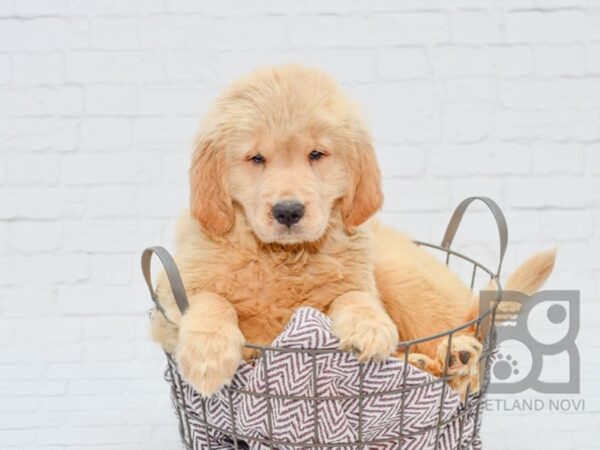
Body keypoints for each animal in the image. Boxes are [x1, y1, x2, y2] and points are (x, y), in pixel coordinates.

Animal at [151, 65, 556, 400]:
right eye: (256, 158)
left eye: (316, 154)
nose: (288, 211)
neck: (282, 256)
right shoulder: (170, 299)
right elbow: (208, 300)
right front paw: (208, 354)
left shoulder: (359, 278)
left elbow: (354, 295)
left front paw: (370, 327)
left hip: (401, 276)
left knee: (461, 344)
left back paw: (456, 356)